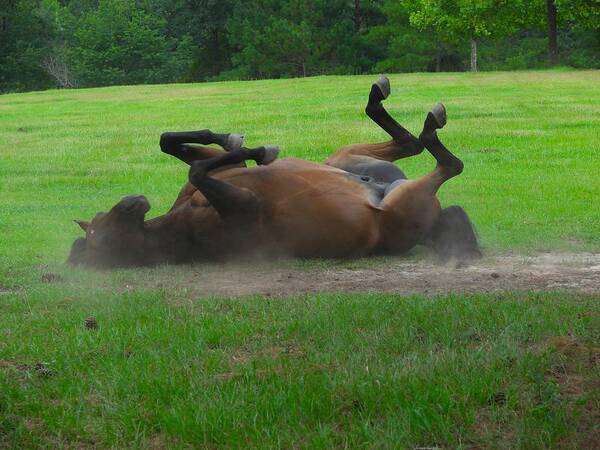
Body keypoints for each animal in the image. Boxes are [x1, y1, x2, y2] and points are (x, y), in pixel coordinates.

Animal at [67, 76, 478, 268]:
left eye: (100, 220)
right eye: (101, 235)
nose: (132, 202)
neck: (178, 224)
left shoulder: (230, 175)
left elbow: (173, 143)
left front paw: (235, 140)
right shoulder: (245, 206)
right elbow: (199, 169)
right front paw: (261, 149)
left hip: (345, 158)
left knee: (409, 142)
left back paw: (381, 95)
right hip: (404, 201)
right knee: (446, 161)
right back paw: (430, 122)